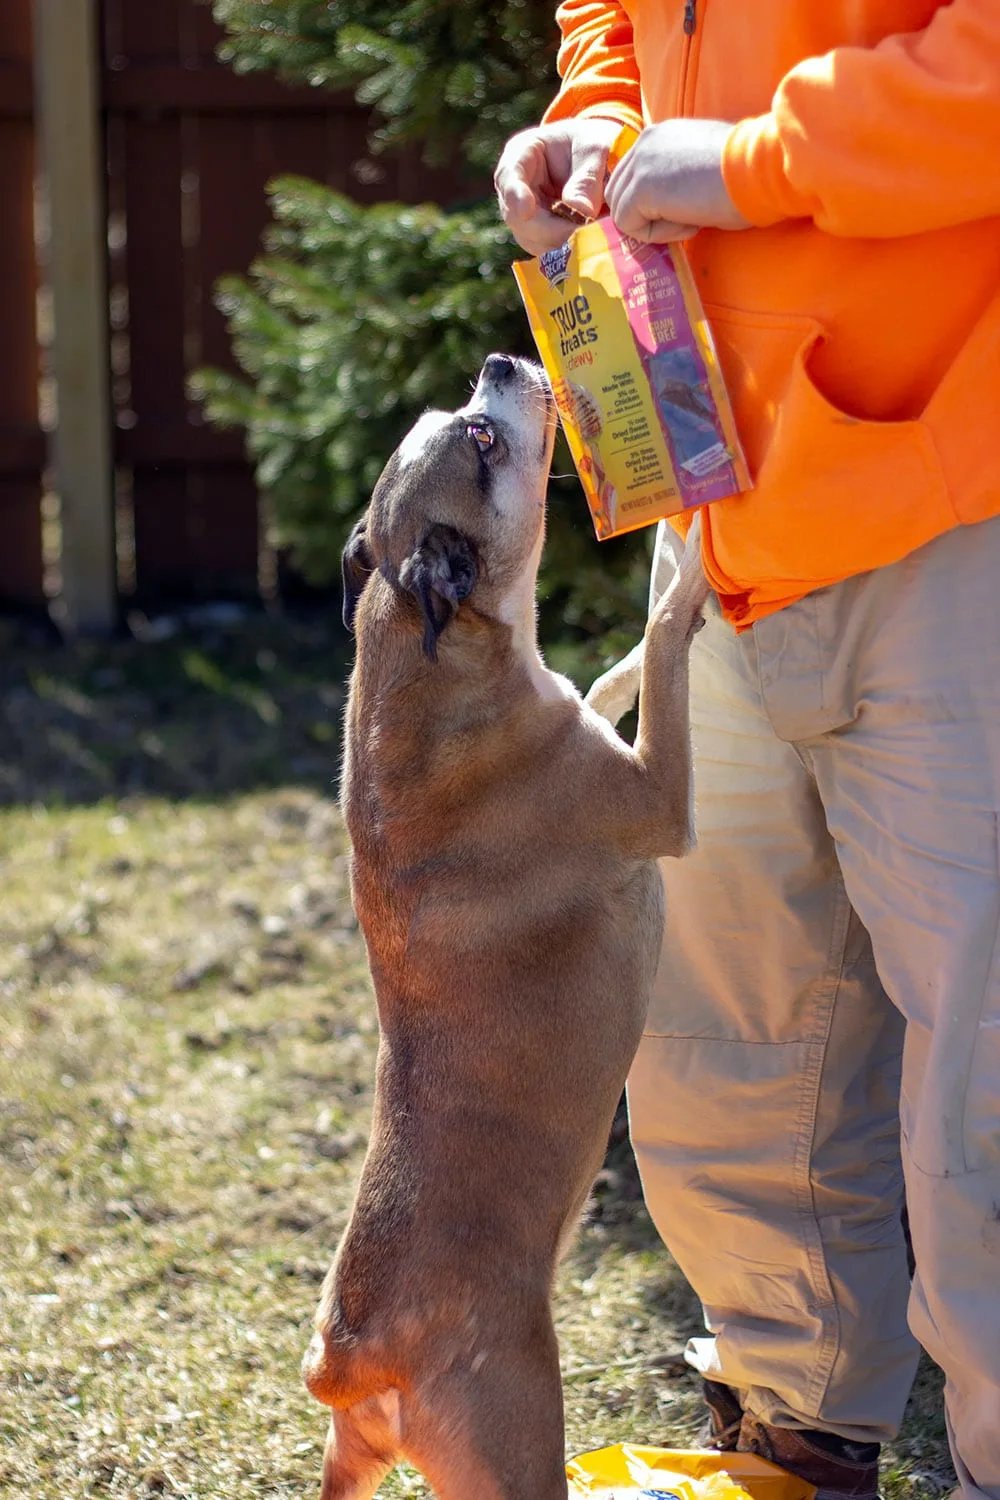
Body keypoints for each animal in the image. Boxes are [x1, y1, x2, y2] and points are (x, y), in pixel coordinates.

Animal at [301, 354, 707, 1500]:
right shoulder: (659, 798)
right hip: (517, 1440)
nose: (500, 362)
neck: (422, 640)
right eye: (480, 440)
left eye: (457, 417)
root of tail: (353, 1355)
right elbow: (662, 646)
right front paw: (689, 573)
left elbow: (610, 675)